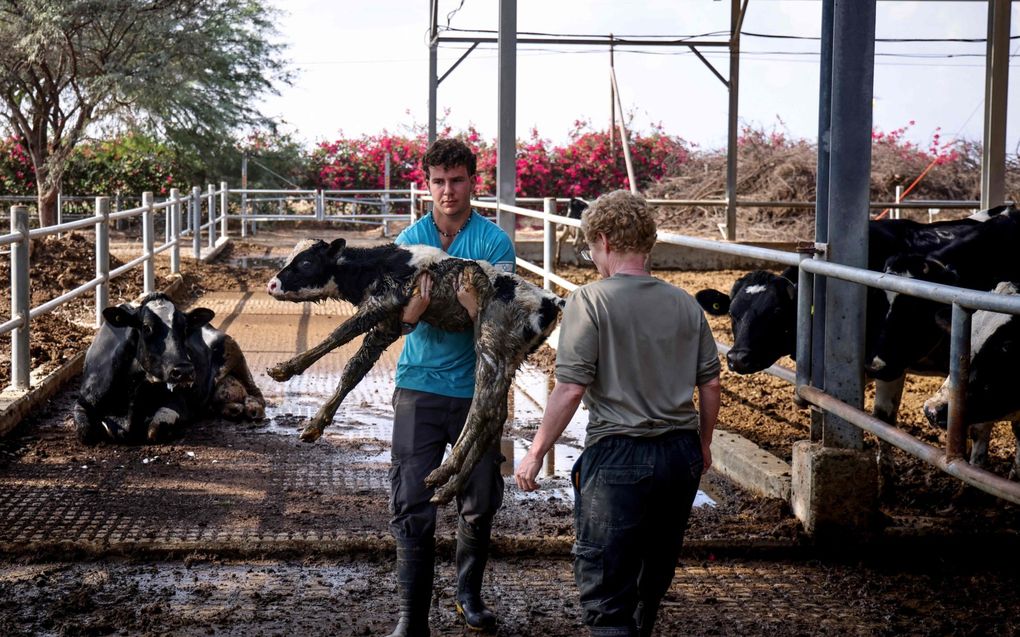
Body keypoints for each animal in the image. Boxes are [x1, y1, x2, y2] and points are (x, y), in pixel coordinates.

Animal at [75, 291, 267, 442]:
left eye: (185, 328)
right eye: (146, 327)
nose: (184, 371)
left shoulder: (179, 403)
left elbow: (155, 428)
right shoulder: (83, 400)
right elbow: (85, 431)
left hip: (232, 348)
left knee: (256, 393)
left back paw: (252, 408)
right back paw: (232, 409)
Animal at [263, 236, 567, 503]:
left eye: (305, 262)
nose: (272, 284)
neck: (378, 264)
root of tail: (550, 300)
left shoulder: (383, 302)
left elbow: (339, 334)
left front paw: (286, 368)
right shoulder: (388, 325)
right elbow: (353, 369)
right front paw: (315, 424)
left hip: (490, 344)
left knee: (482, 410)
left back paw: (443, 471)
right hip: (509, 359)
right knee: (496, 416)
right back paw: (448, 489)